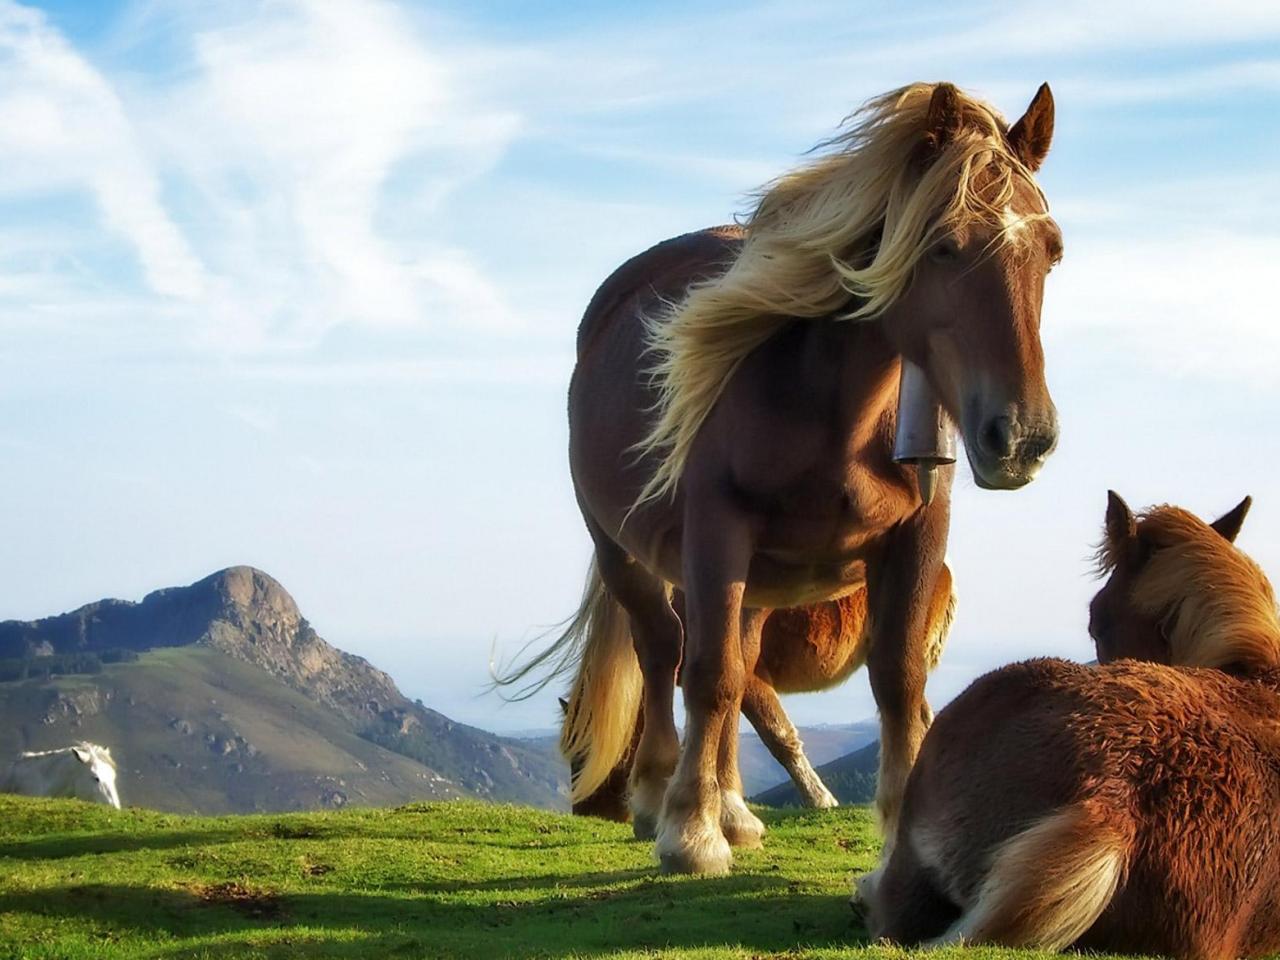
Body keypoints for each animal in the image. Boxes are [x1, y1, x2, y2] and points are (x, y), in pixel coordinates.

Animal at [499, 82, 1059, 875]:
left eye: (1051, 252)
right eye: (944, 246)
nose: (1021, 438)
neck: (833, 410)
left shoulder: (919, 535)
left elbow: (898, 682)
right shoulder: (715, 532)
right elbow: (708, 675)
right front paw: (691, 835)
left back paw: (734, 807)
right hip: (626, 551)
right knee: (665, 652)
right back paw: (662, 799)